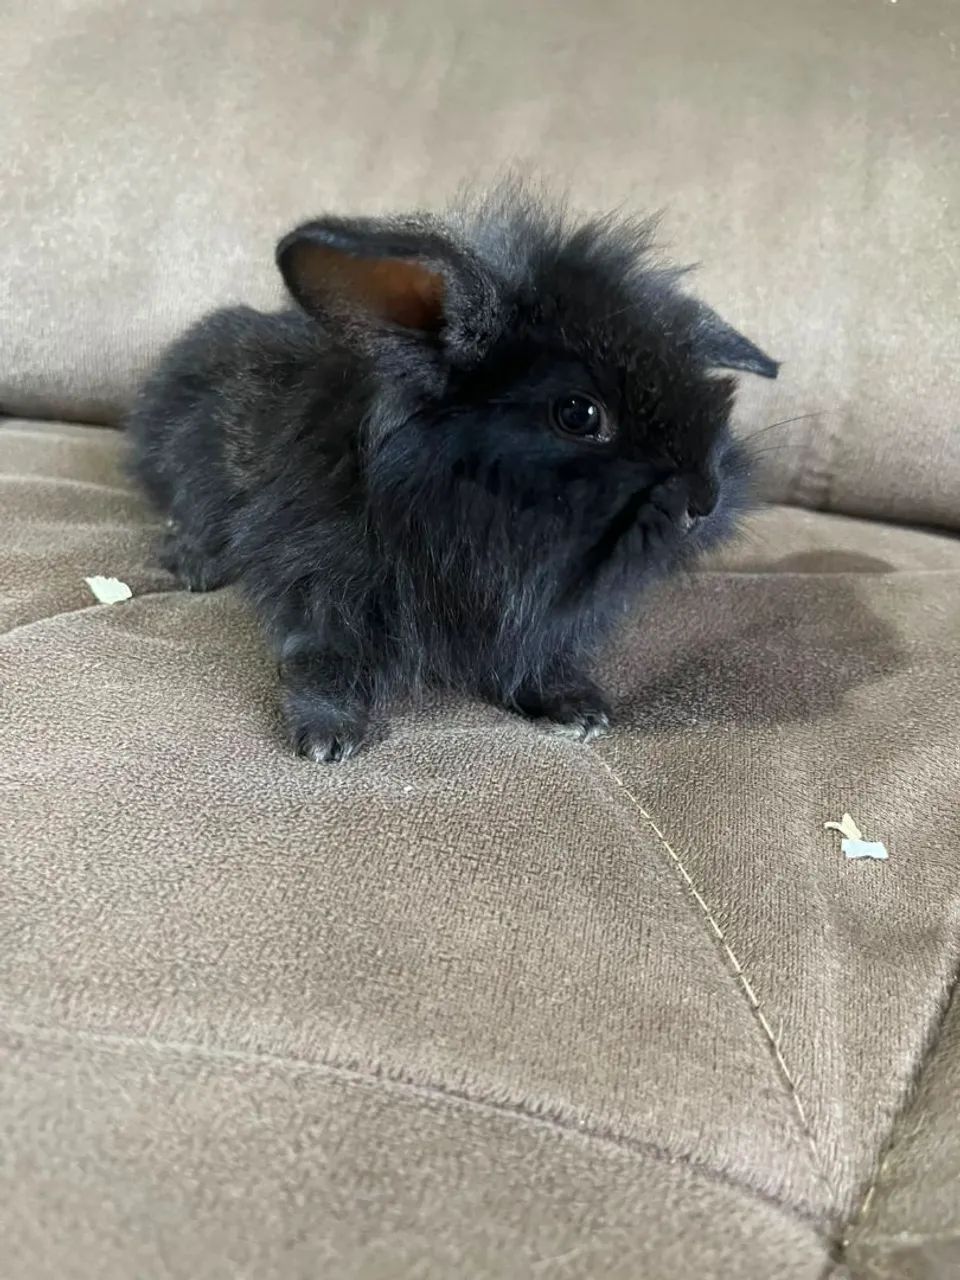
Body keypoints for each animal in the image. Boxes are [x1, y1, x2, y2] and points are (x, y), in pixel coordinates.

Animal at [127, 184, 778, 762]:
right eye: (578, 413)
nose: (705, 501)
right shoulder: (320, 589)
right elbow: (325, 664)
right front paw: (326, 737)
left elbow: (536, 662)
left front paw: (578, 708)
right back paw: (195, 563)